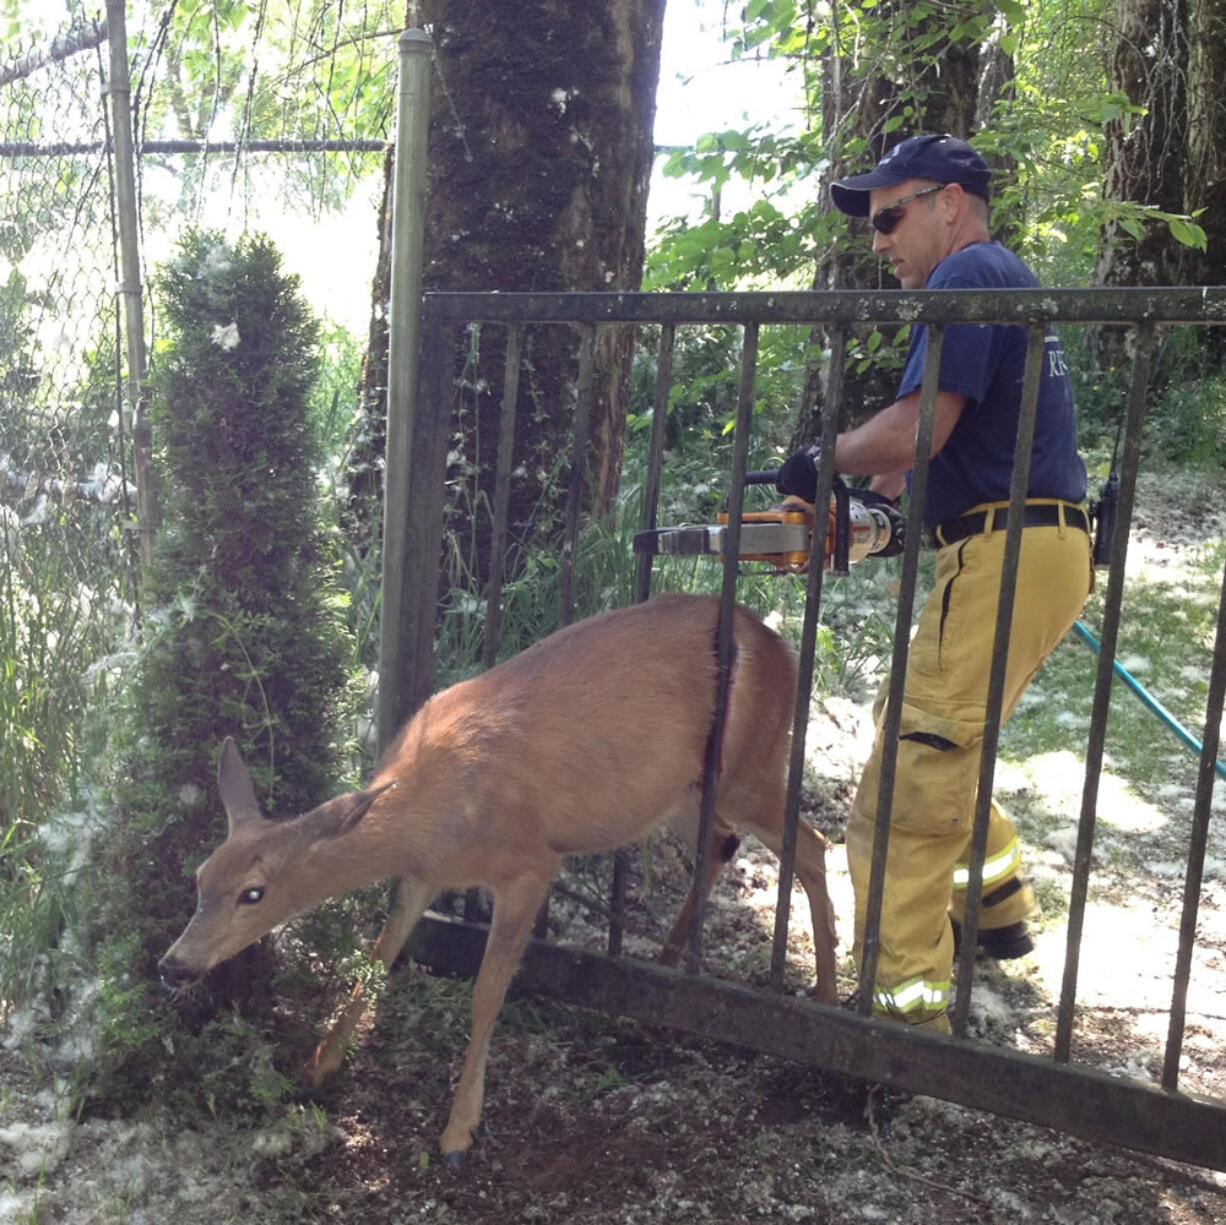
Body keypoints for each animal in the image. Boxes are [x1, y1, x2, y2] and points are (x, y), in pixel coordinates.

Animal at [158, 593, 838, 1167]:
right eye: (199, 878)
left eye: (253, 893)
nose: (175, 963)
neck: (431, 810)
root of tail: (779, 647)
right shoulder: (425, 875)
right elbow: (379, 953)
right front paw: (320, 1067)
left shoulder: (529, 865)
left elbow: (486, 993)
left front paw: (459, 1131)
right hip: (683, 788)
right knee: (724, 843)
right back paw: (668, 970)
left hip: (748, 765)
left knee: (813, 845)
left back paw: (830, 1003)